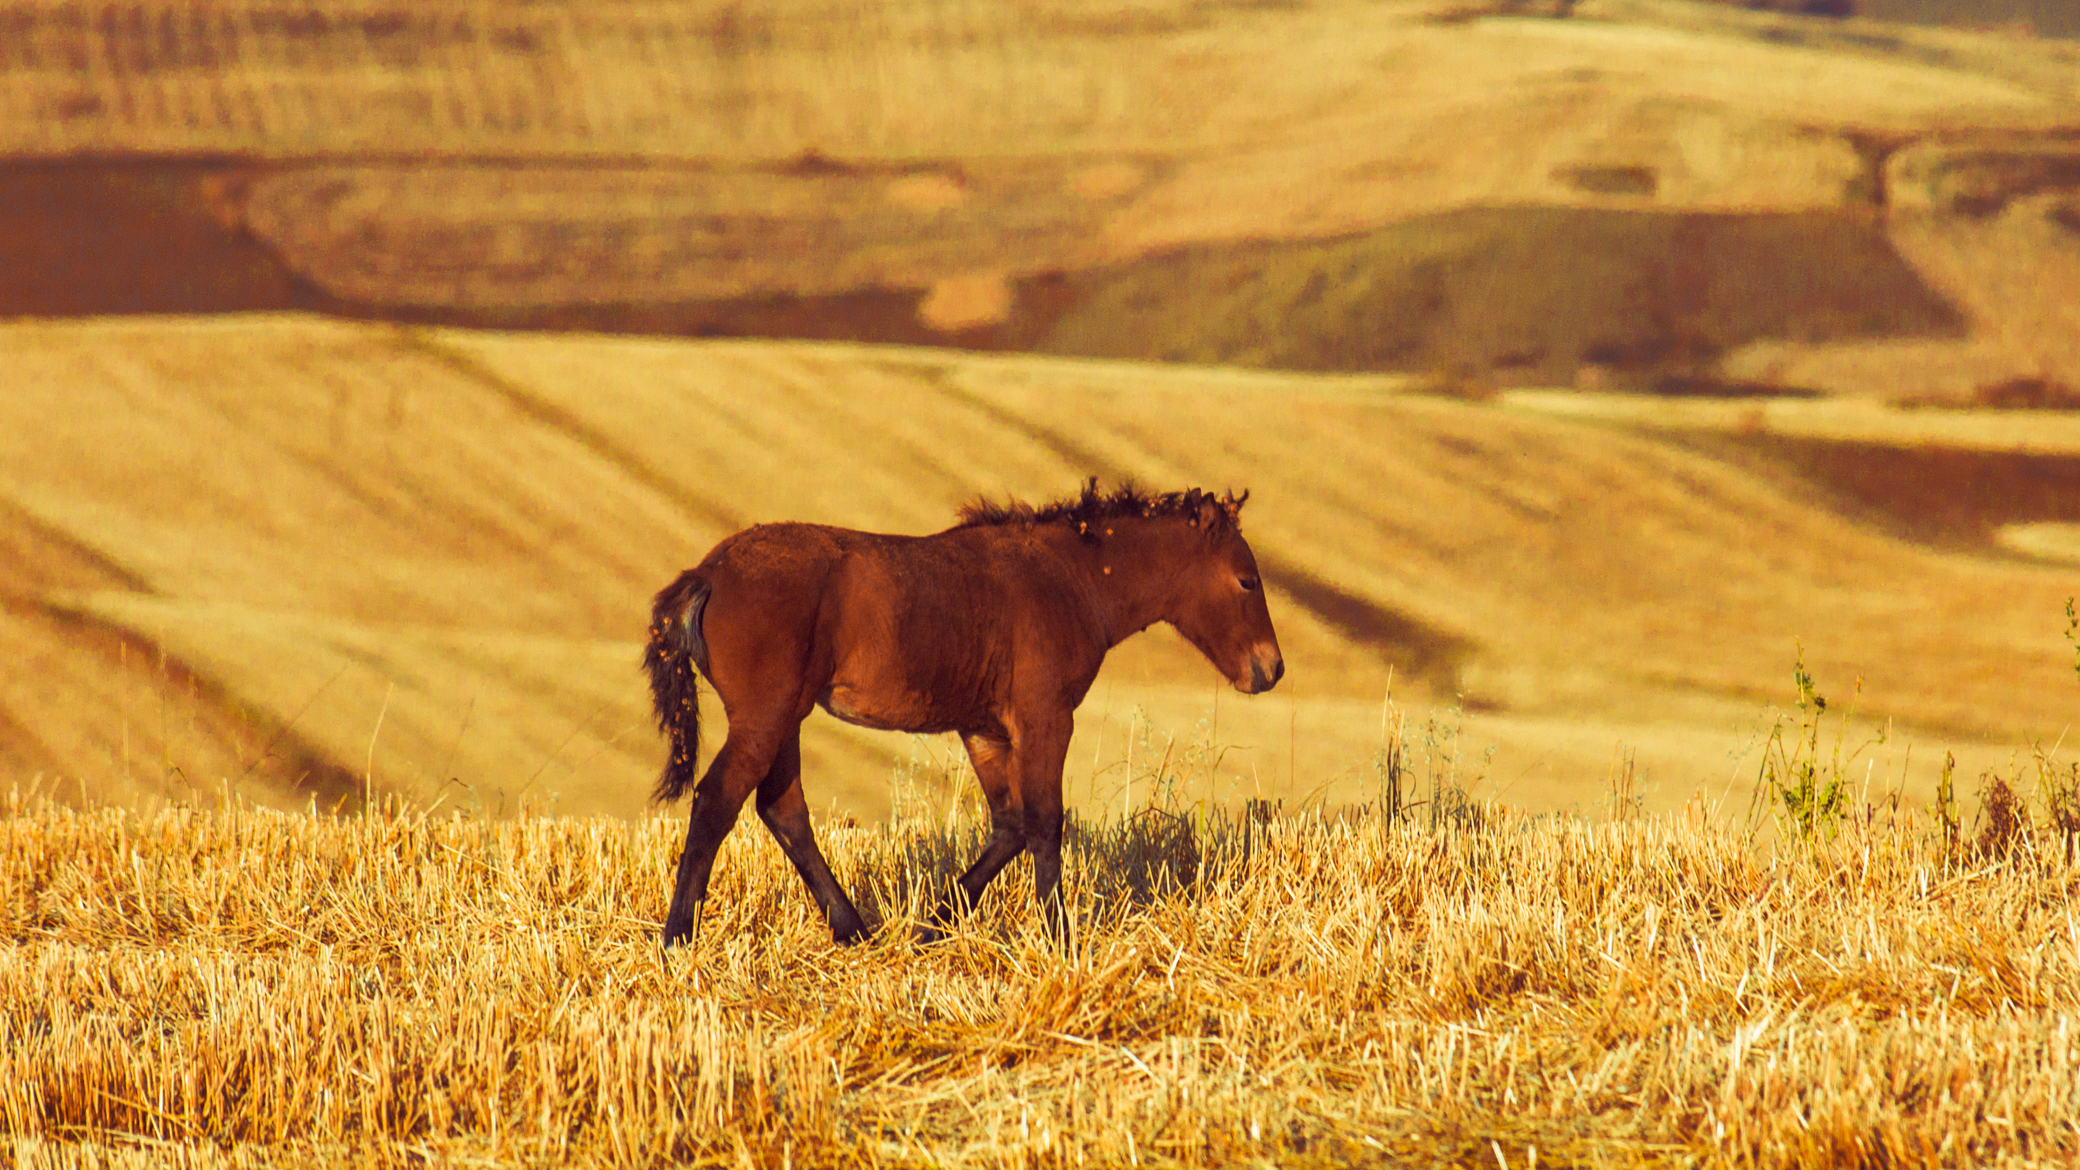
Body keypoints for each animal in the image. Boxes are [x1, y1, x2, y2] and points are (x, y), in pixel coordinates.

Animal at [643, 480, 1284, 947]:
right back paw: (678, 937)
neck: (1072, 579)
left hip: (785, 718)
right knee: (719, 799)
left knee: (782, 808)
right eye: (1247, 581)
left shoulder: (985, 730)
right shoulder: (1047, 717)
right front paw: (1061, 939)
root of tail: (709, 572)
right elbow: (1046, 822)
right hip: (767, 714)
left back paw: (854, 930)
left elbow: (1011, 825)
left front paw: (935, 922)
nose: (1271, 669)